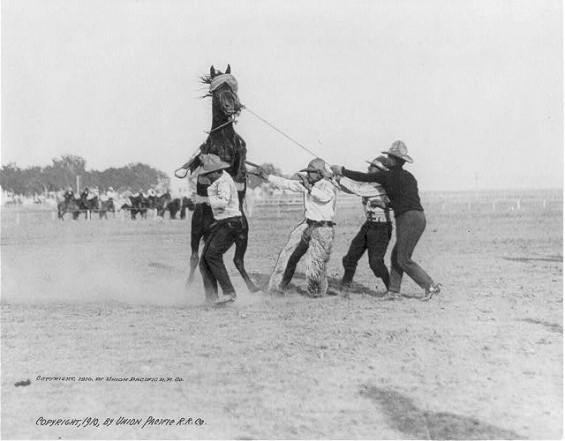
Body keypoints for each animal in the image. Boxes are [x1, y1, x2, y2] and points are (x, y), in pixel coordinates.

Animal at [181, 64, 258, 292]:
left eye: (231, 88)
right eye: (217, 91)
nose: (231, 106)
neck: (223, 141)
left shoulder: (239, 158)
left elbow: (239, 173)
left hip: (242, 233)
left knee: (237, 261)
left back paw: (252, 287)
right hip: (196, 229)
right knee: (194, 258)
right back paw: (187, 286)